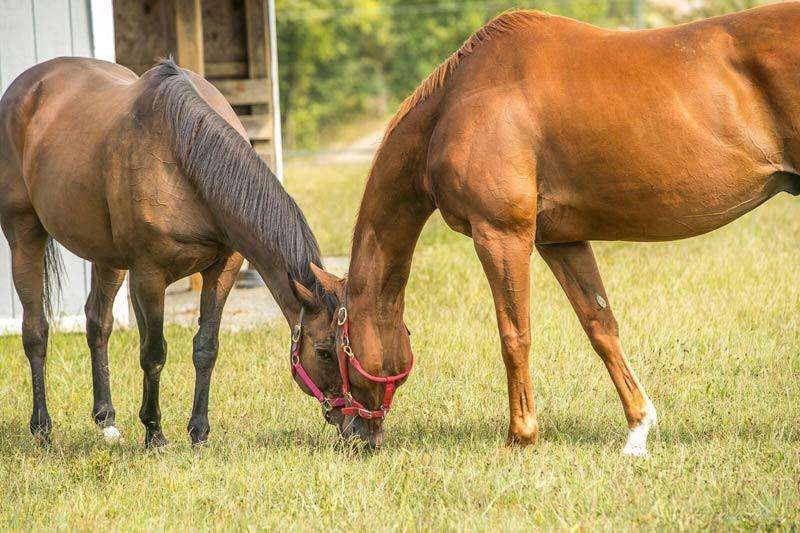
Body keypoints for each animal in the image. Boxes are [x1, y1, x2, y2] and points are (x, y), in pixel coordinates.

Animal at [0, 58, 340, 446]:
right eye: (323, 351)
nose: (356, 425)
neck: (182, 154)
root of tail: (25, 87)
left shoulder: (223, 269)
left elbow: (206, 346)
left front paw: (199, 431)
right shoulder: (149, 276)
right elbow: (154, 352)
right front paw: (154, 433)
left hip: (108, 258)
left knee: (98, 322)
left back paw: (107, 420)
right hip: (24, 236)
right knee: (35, 330)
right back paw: (42, 427)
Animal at [294, 4, 800, 454]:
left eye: (325, 350)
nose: (351, 433)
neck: (457, 103)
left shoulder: (501, 235)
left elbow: (514, 334)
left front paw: (521, 436)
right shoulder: (560, 239)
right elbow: (600, 325)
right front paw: (637, 429)